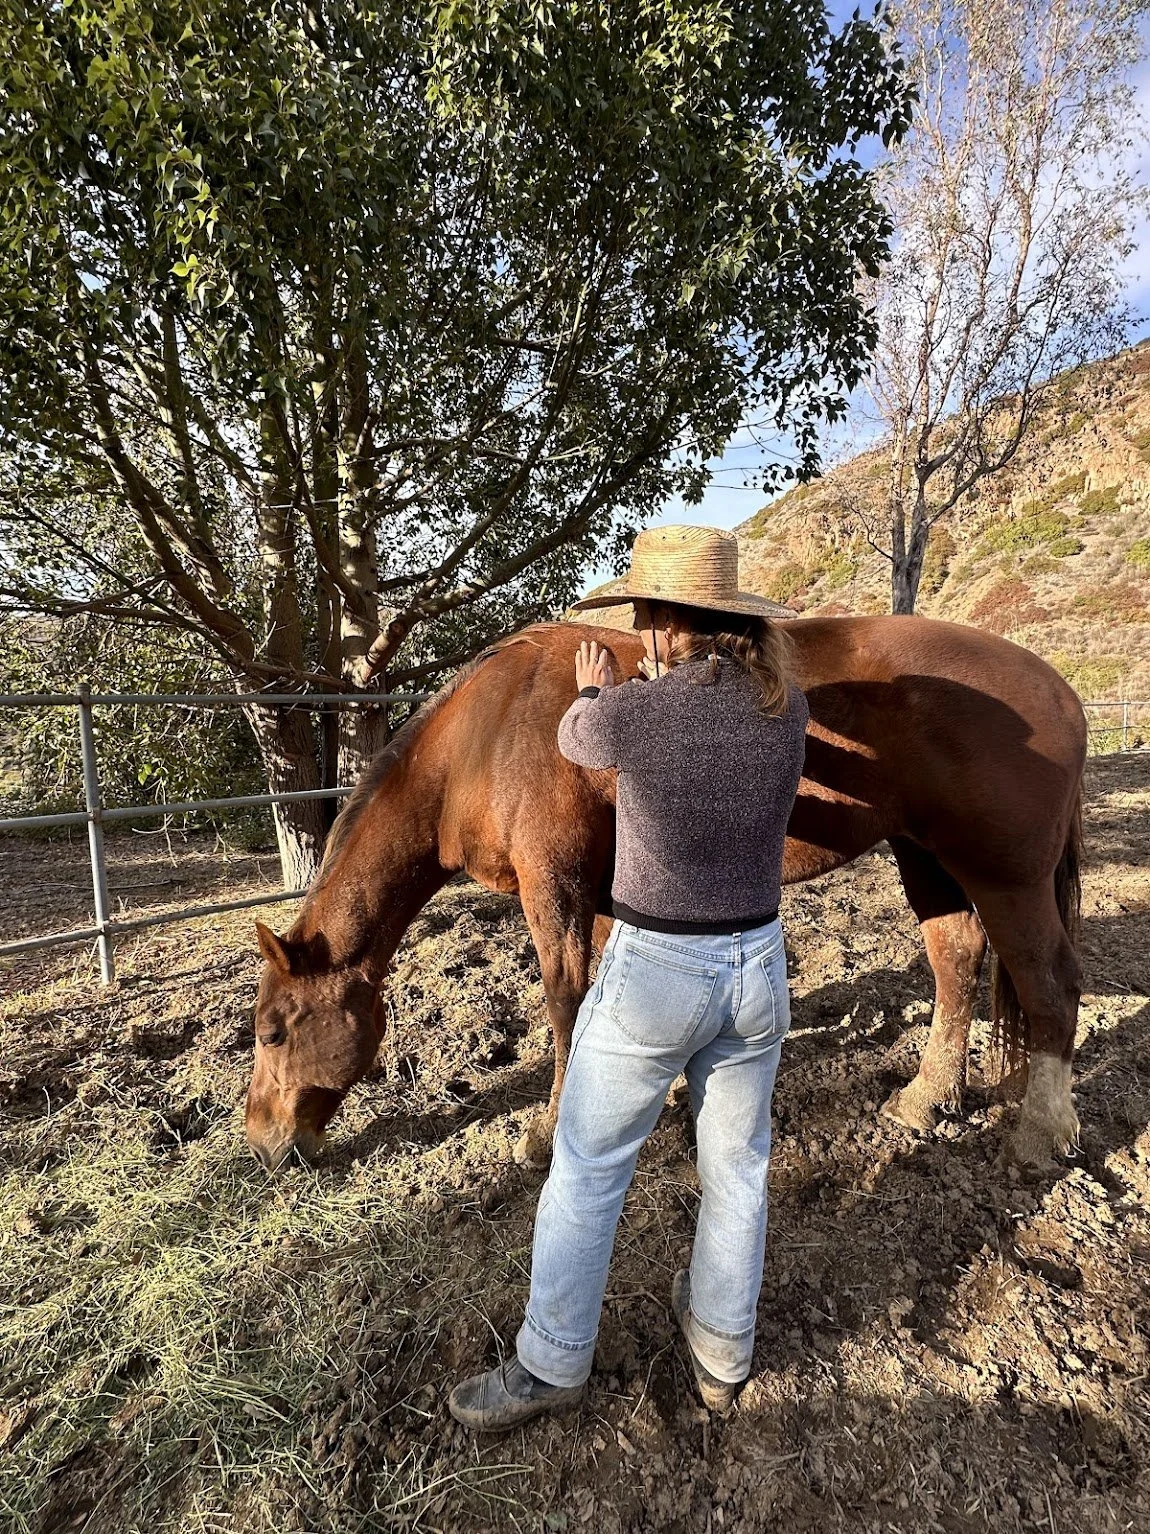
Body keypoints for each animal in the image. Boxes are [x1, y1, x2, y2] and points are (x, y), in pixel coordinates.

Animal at [245, 615, 1086, 1173]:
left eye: (272, 1034)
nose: (264, 1142)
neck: (490, 734)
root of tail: (1060, 689)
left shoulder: (555, 886)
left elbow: (564, 1002)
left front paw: (550, 1131)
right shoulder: (611, 893)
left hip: (1006, 878)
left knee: (1050, 988)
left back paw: (1041, 1136)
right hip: (927, 858)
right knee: (956, 962)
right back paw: (926, 1098)